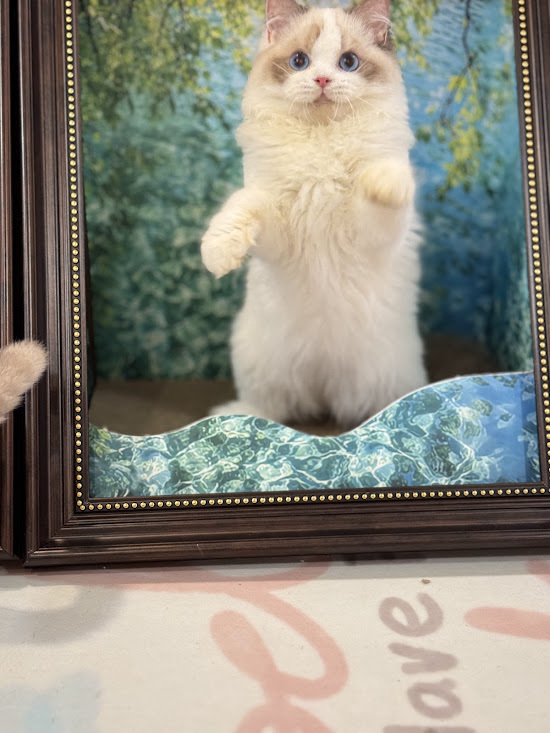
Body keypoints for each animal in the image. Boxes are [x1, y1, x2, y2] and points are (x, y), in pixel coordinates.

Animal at [201, 0, 427, 428]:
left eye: (348, 62)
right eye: (299, 61)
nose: (322, 79)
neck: (321, 141)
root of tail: (326, 392)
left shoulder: (374, 234)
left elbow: (381, 188)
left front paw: (382, 180)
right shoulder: (276, 227)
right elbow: (238, 209)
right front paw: (218, 254)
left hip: (386, 379)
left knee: (381, 410)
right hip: (263, 366)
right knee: (275, 410)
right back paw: (238, 415)